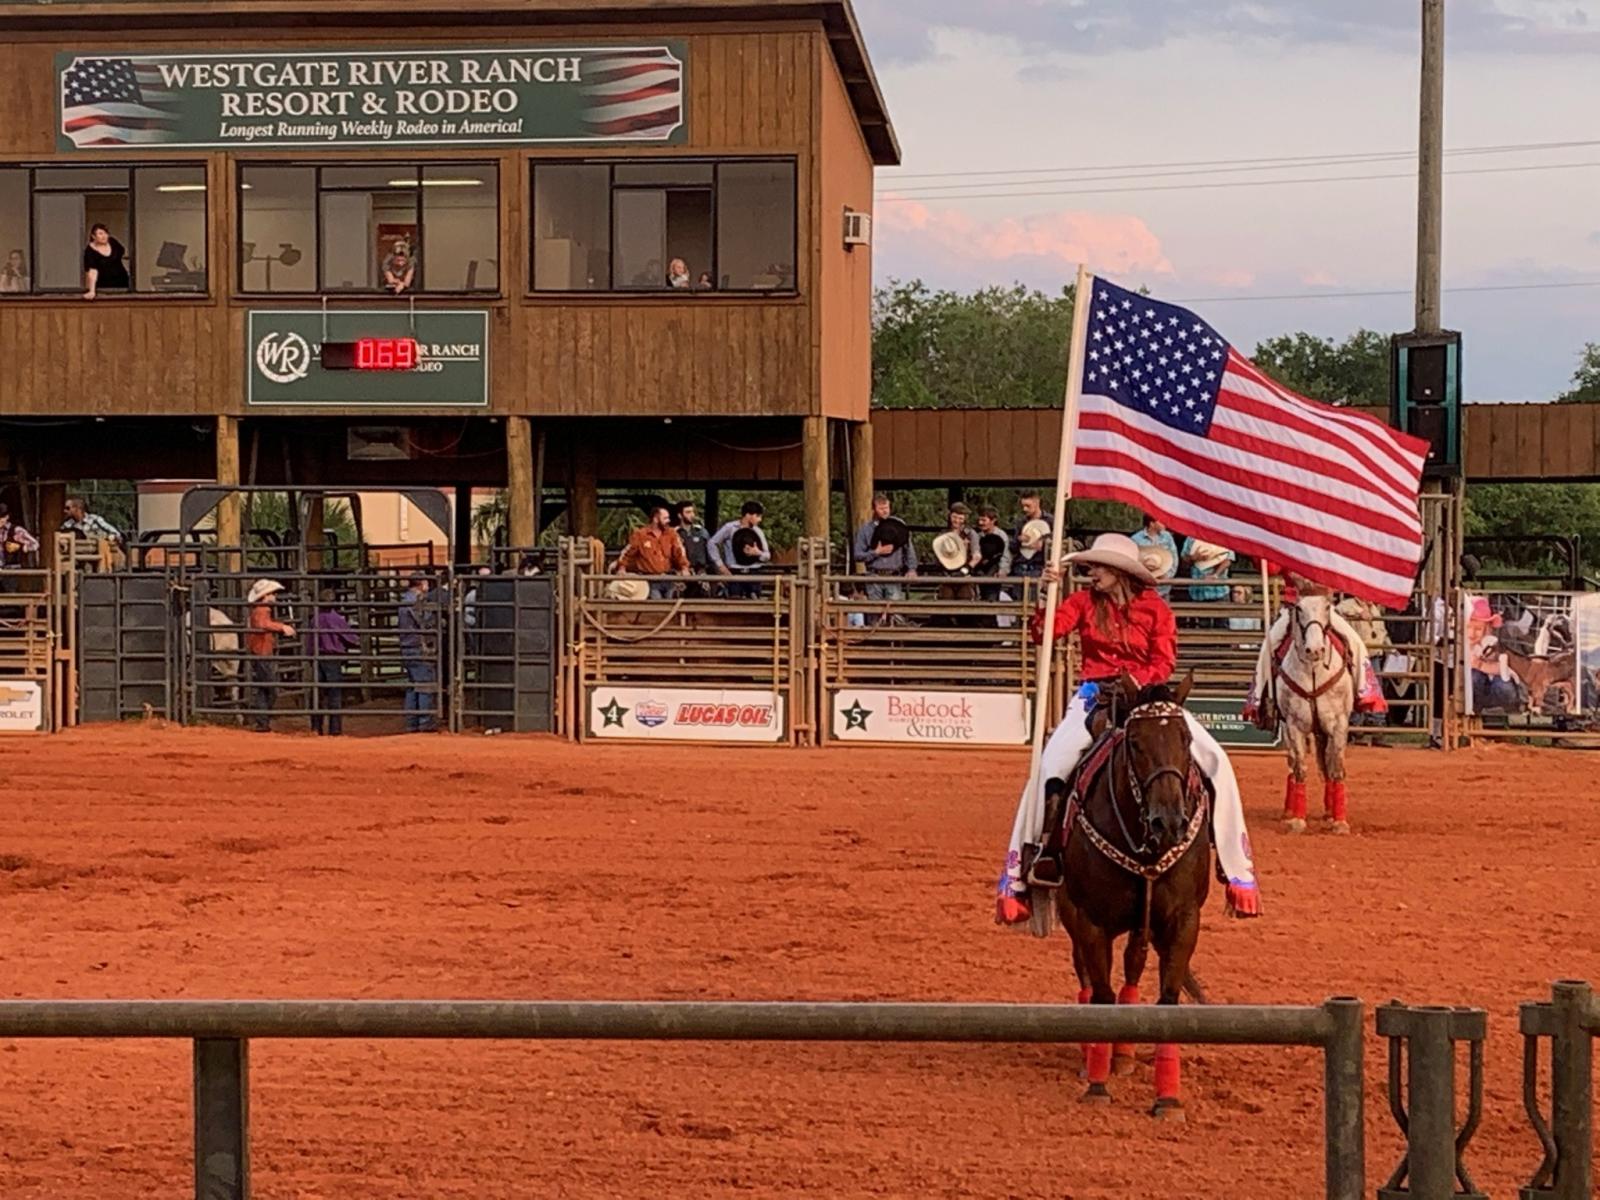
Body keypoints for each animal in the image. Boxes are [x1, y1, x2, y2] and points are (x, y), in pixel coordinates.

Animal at [1043, 672, 1203, 1126]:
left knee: (1133, 967)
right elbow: (1100, 995)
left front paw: (1168, 1099)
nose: (1168, 822)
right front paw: (1097, 1086)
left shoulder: (1182, 920)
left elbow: (1167, 1000)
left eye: (1186, 738)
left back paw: (1126, 1055)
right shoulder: (1089, 921)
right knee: (1086, 977)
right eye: (1135, 742)